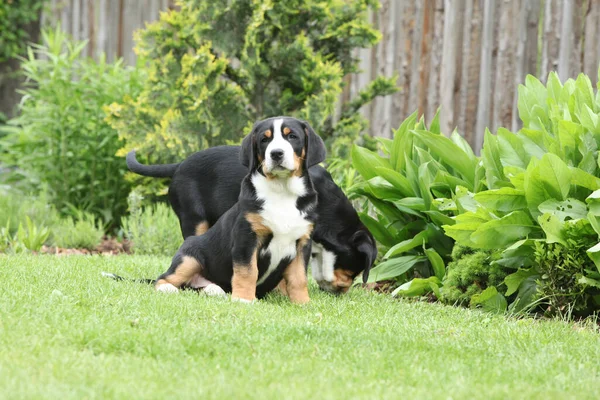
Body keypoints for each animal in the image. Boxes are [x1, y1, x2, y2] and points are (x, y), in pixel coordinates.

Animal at [152, 116, 326, 304]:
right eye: (264, 140)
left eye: (292, 136)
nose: (276, 153)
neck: (282, 190)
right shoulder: (247, 238)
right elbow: (247, 271)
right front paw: (243, 299)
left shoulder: (302, 242)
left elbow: (298, 277)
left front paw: (302, 302)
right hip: (189, 256)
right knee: (164, 278)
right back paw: (168, 288)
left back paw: (213, 289)